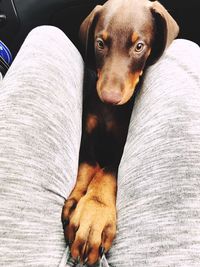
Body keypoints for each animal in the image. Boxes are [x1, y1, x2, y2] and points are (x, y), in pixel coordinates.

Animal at [61, 0, 179, 266]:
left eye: (139, 46)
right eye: (100, 43)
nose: (109, 97)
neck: (109, 112)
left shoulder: (120, 148)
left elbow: (106, 173)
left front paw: (94, 214)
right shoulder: (88, 136)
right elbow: (88, 165)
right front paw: (77, 199)